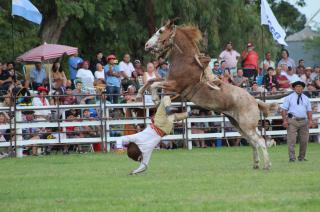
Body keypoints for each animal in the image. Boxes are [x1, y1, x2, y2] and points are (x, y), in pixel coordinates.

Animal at [142, 19, 278, 169]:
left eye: (160, 31)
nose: (146, 45)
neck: (185, 60)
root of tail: (255, 101)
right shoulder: (170, 83)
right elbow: (151, 80)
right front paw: (140, 92)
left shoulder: (176, 85)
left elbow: (154, 84)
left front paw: (155, 98)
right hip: (238, 124)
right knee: (253, 142)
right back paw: (256, 164)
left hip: (247, 125)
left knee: (260, 141)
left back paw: (267, 165)